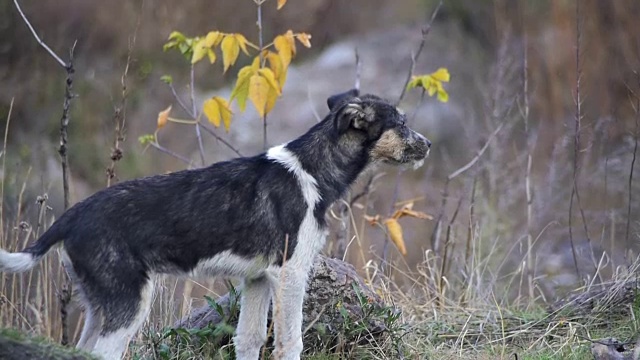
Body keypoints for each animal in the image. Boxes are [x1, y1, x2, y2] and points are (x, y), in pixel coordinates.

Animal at [0, 88, 432, 358]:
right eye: (401, 123)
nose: (428, 144)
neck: (311, 171)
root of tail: (70, 218)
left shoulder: (258, 280)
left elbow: (250, 341)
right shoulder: (290, 275)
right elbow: (290, 344)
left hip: (99, 307)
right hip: (129, 305)